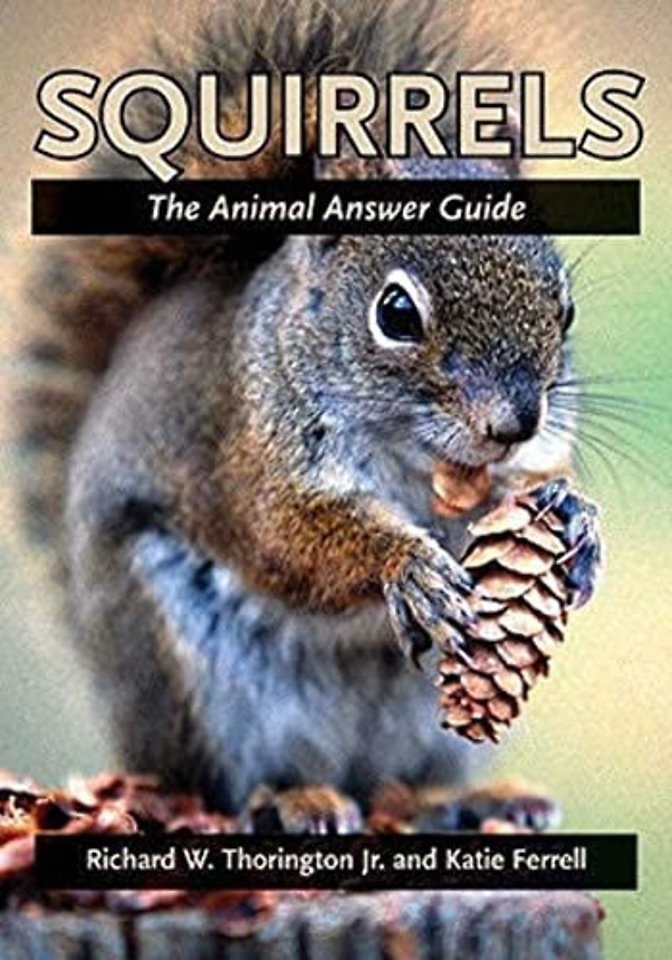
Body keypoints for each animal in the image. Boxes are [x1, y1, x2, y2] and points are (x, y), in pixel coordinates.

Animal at [22, 0, 600, 833]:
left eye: (565, 308)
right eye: (396, 313)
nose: (514, 423)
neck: (416, 460)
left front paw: (571, 514)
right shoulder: (249, 456)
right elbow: (287, 536)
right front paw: (406, 564)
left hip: (424, 724)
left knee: (405, 782)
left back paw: (470, 798)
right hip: (192, 676)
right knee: (224, 784)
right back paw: (295, 798)